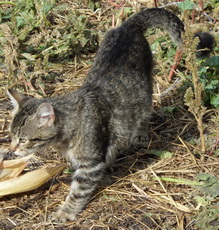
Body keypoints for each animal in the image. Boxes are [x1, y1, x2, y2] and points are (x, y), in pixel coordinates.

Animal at [7, 8, 213, 222]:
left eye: (23, 140)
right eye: (11, 136)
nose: (12, 149)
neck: (68, 131)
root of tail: (127, 26)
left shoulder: (90, 163)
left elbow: (78, 191)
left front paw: (65, 212)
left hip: (144, 91)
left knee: (144, 111)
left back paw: (139, 135)